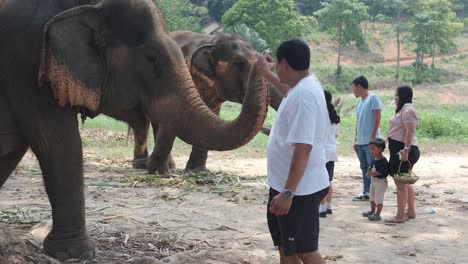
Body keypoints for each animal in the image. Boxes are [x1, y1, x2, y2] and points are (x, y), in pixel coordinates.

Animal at [0, 0, 268, 260]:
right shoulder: (27, 65)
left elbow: (16, 148)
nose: (264, 58)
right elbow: (59, 143)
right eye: (152, 59)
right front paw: (75, 254)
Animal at [131, 29, 286, 174]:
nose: (267, 57)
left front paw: (197, 171)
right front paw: (159, 172)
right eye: (239, 63)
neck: (212, 41)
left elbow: (211, 112)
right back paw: (142, 165)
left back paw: (168, 166)